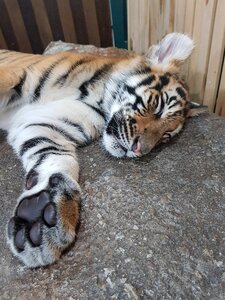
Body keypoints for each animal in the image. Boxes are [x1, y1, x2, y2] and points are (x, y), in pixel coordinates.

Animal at [0, 32, 204, 268]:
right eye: (159, 108)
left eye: (165, 136)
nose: (139, 150)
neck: (97, 99)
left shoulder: (40, 123)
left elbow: (57, 156)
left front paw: (39, 215)